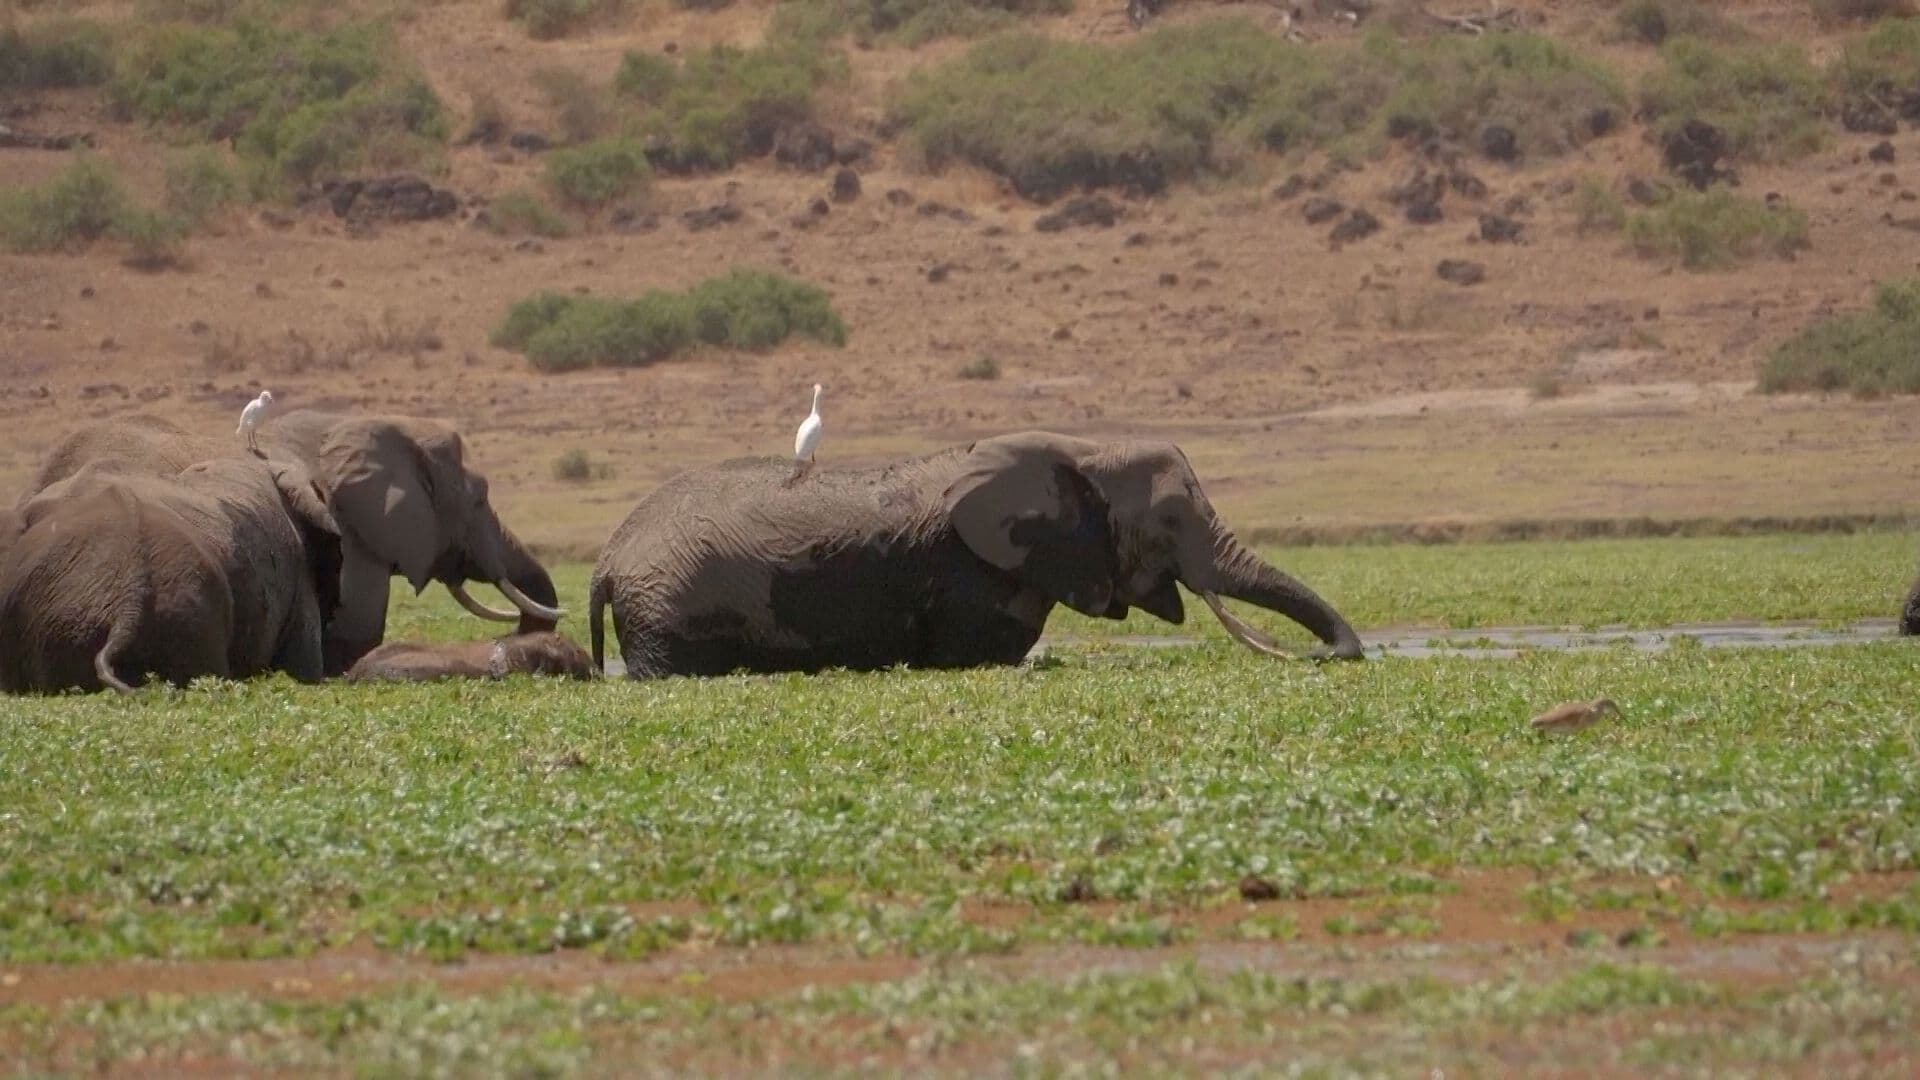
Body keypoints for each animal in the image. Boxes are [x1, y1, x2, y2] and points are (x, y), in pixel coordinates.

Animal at [589, 431, 1366, 678]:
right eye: (1171, 519)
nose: (1329, 655)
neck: (1083, 449)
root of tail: (606, 557)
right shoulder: (972, 572)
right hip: (668, 606)